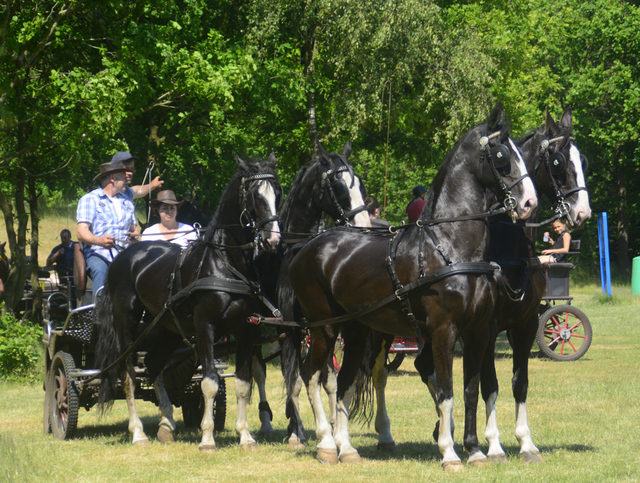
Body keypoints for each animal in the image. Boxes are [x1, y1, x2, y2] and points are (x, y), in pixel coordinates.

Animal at [94, 153, 282, 452]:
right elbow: (209, 383)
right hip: (128, 326)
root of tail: (123, 255)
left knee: (153, 365)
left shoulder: (246, 330)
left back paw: (166, 424)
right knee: (129, 375)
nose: (272, 240)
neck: (225, 264)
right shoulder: (206, 327)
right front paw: (207, 439)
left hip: (165, 328)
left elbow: (243, 383)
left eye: (278, 193)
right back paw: (138, 433)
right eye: (254, 195)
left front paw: (245, 436)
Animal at [288, 103, 536, 468]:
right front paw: (449, 453)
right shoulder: (444, 331)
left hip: (356, 330)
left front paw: (476, 450)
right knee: (311, 375)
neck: (449, 246)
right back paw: (326, 443)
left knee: (344, 382)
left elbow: (471, 390)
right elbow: (446, 393)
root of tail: (306, 247)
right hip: (323, 328)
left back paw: (347, 447)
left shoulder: (478, 331)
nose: (530, 202)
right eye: (502, 154)